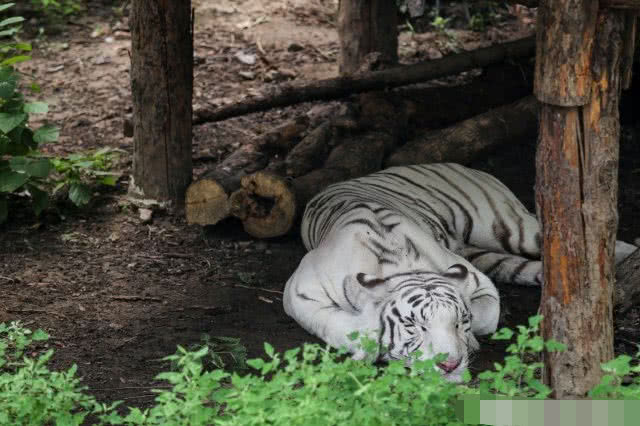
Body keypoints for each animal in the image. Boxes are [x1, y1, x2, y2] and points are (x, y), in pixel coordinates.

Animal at [282, 161, 636, 382]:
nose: (449, 365)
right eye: (414, 326)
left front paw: (471, 344)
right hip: (492, 255)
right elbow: (338, 325)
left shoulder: (480, 283)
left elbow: (485, 317)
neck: (400, 265)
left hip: (511, 227)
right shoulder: (299, 291)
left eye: (458, 322)